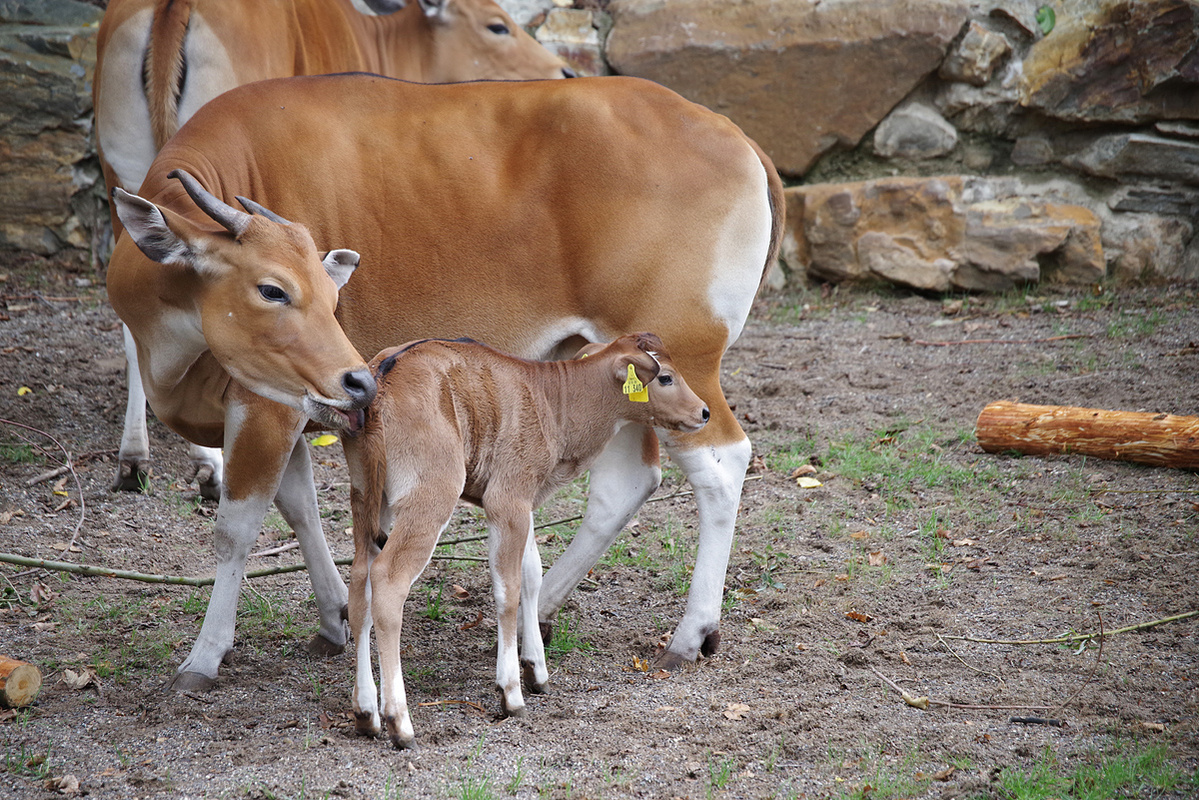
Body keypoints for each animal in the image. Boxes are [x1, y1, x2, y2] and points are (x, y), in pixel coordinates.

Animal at [93, 0, 570, 501]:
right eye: (497, 24)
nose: (563, 69)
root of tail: (173, 7)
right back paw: (207, 465)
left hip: (118, 175)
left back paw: (135, 460)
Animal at [110, 71, 786, 690]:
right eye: (273, 289)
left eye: (329, 293)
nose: (358, 381)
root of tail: (739, 138)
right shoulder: (295, 404)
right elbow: (300, 507)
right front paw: (334, 618)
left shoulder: (265, 406)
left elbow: (237, 529)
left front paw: (204, 657)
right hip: (618, 373)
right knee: (626, 483)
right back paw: (541, 615)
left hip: (686, 364)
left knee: (723, 463)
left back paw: (689, 634)